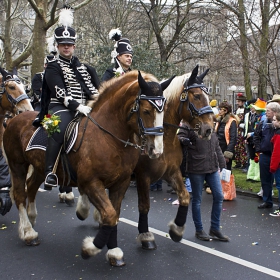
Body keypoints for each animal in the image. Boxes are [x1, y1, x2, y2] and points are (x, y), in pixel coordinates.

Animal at [3, 70, 174, 266]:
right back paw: (28, 232)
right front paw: (90, 247)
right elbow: (109, 214)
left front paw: (113, 251)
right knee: (19, 194)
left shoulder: (121, 182)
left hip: (39, 167)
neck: (109, 136)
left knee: (31, 187)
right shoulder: (91, 182)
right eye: (146, 111)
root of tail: (15, 118)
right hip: (17, 165)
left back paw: (31, 220)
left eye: (164, 111)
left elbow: (114, 214)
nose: (157, 150)